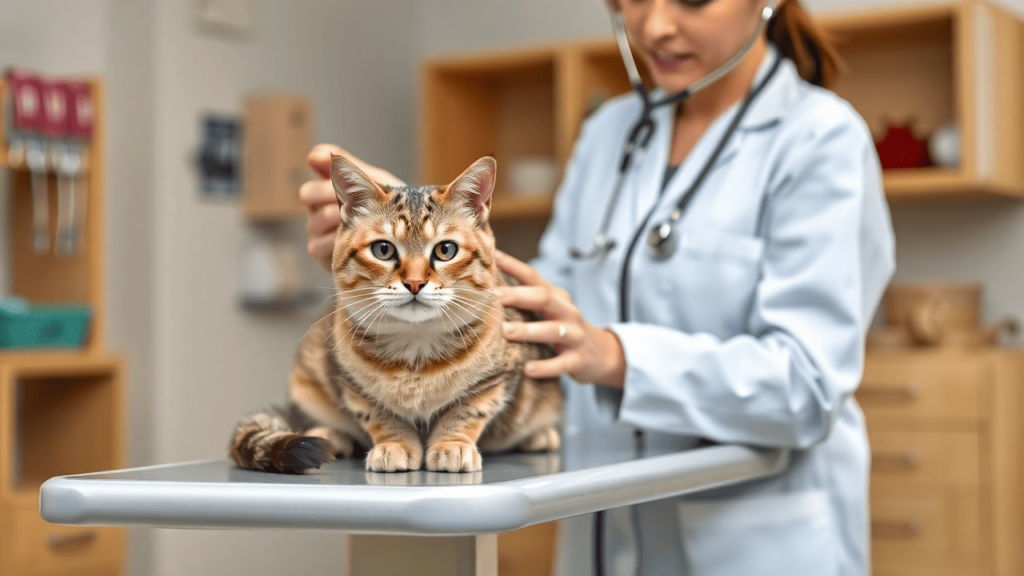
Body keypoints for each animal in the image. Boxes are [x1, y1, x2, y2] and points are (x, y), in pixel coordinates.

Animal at [229, 155, 565, 471]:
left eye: (446, 250)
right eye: (383, 250)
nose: (414, 283)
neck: (416, 348)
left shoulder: (497, 379)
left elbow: (467, 410)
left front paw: (453, 444)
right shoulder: (351, 384)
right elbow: (380, 415)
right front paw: (395, 444)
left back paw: (539, 436)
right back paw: (330, 434)